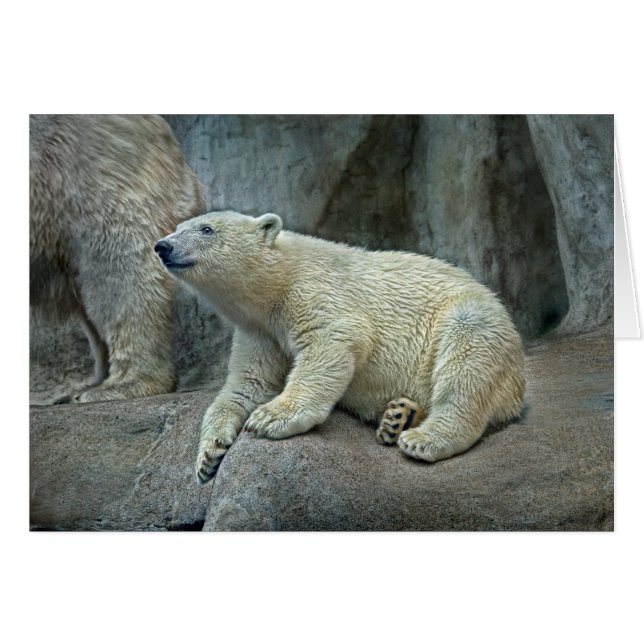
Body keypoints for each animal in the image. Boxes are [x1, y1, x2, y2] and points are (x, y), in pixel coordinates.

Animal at [154, 210, 526, 483]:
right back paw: (397, 417)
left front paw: (270, 417)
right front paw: (208, 455)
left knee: (466, 364)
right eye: (177, 227)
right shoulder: (258, 331)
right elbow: (248, 383)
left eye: (206, 229)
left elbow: (331, 343)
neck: (280, 281)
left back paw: (423, 438)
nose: (162, 246)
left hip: (476, 322)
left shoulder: (316, 291)